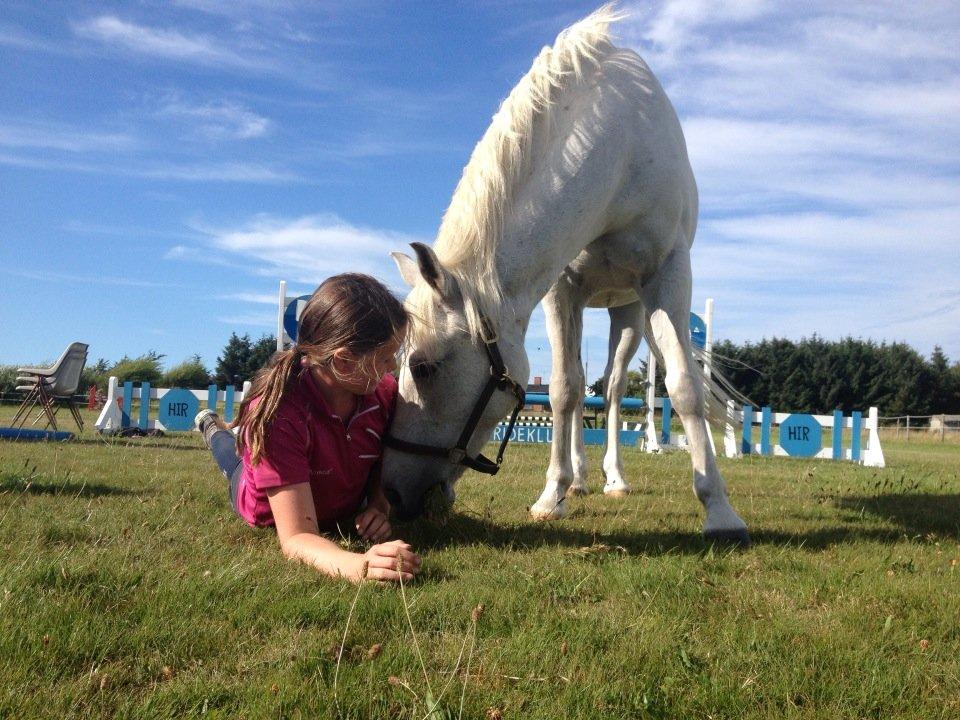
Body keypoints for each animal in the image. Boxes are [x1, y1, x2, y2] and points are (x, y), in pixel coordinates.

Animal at [382, 5, 752, 544]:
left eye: (423, 367)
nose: (389, 492)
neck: (619, 149)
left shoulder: (668, 275)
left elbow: (685, 386)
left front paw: (720, 511)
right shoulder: (561, 288)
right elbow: (562, 390)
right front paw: (551, 495)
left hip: (629, 312)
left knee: (613, 389)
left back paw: (614, 478)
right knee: (578, 390)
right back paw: (576, 478)